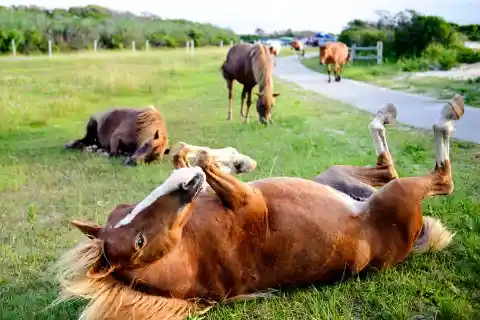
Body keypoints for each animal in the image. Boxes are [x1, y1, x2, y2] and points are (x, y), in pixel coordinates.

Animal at [54, 94, 464, 320]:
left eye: (121, 210)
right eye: (137, 243)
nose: (187, 188)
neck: (193, 249)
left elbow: (185, 153)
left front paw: (235, 161)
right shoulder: (248, 202)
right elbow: (201, 159)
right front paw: (226, 162)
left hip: (337, 176)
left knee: (386, 164)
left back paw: (388, 113)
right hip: (399, 193)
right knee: (441, 178)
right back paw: (448, 113)